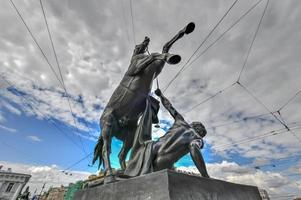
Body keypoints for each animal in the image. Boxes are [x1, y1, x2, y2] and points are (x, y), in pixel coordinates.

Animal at [91, 22, 195, 181]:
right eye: (137, 45)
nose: (146, 37)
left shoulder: (157, 69)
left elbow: (165, 46)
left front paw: (186, 30)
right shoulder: (137, 67)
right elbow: (154, 54)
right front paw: (172, 57)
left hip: (129, 138)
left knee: (121, 154)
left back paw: (126, 173)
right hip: (107, 128)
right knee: (106, 150)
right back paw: (110, 176)